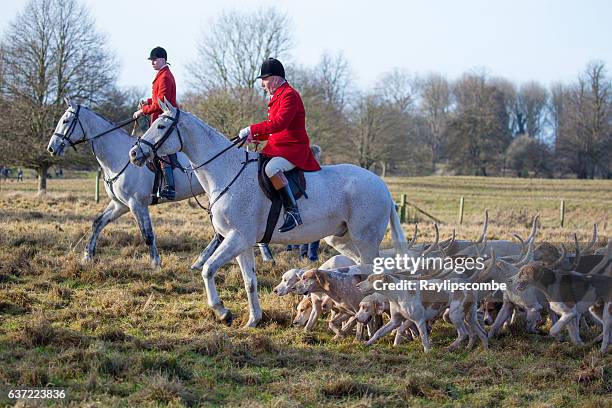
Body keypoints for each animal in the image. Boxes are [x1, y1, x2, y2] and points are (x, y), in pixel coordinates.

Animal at [47, 101, 274, 268]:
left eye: (65, 120)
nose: (51, 148)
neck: (118, 157)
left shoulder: (136, 204)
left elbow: (147, 234)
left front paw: (156, 263)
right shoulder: (120, 204)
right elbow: (97, 223)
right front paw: (88, 256)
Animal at [128, 99, 406, 328]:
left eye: (161, 126)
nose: (134, 153)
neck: (227, 171)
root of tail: (381, 184)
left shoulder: (237, 237)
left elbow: (208, 269)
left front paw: (222, 312)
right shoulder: (242, 242)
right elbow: (249, 281)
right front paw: (253, 320)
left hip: (365, 239)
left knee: (373, 273)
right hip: (343, 239)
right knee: (362, 272)